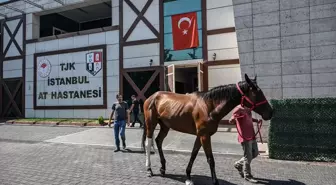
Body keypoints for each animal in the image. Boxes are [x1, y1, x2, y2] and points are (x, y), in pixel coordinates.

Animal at [140, 74, 274, 185]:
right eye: (257, 94)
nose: (270, 112)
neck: (208, 106)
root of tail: (151, 97)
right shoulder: (205, 136)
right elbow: (210, 159)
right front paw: (215, 181)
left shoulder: (201, 135)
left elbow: (193, 154)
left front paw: (188, 177)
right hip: (151, 124)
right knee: (148, 143)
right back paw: (149, 169)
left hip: (165, 126)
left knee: (158, 141)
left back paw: (163, 168)